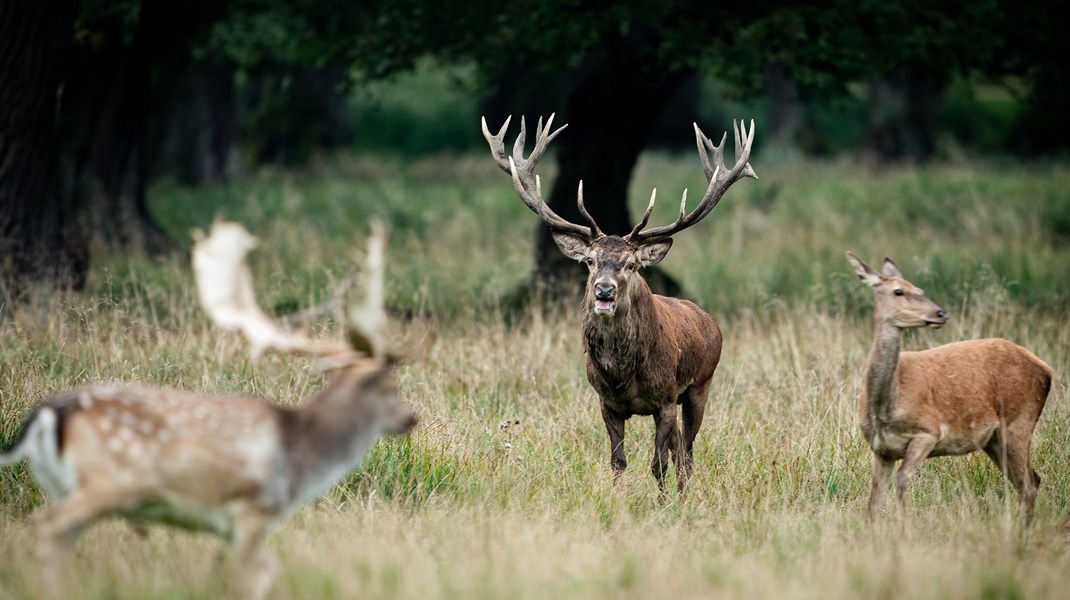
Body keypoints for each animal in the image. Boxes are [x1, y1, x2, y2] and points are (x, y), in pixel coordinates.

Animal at [0, 221, 415, 598]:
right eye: (391, 388)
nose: (412, 417)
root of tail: (45, 416)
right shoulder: (250, 509)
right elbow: (254, 575)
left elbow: (265, 569)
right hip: (109, 482)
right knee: (48, 526)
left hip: (63, 486)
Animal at [485, 113, 761, 491]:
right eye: (590, 260)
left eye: (631, 265)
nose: (604, 291)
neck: (623, 374)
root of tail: (710, 321)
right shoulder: (606, 402)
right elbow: (618, 461)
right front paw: (617, 498)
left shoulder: (665, 398)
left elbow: (658, 463)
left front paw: (662, 501)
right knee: (680, 449)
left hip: (700, 385)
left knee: (687, 452)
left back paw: (684, 492)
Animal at [851, 250, 1052, 526]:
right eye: (898, 291)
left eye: (920, 289)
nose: (940, 313)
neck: (886, 407)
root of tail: (1046, 370)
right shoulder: (881, 449)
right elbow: (873, 500)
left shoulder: (928, 431)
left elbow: (902, 481)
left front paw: (905, 529)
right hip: (994, 439)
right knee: (1029, 480)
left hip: (1019, 421)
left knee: (1028, 483)